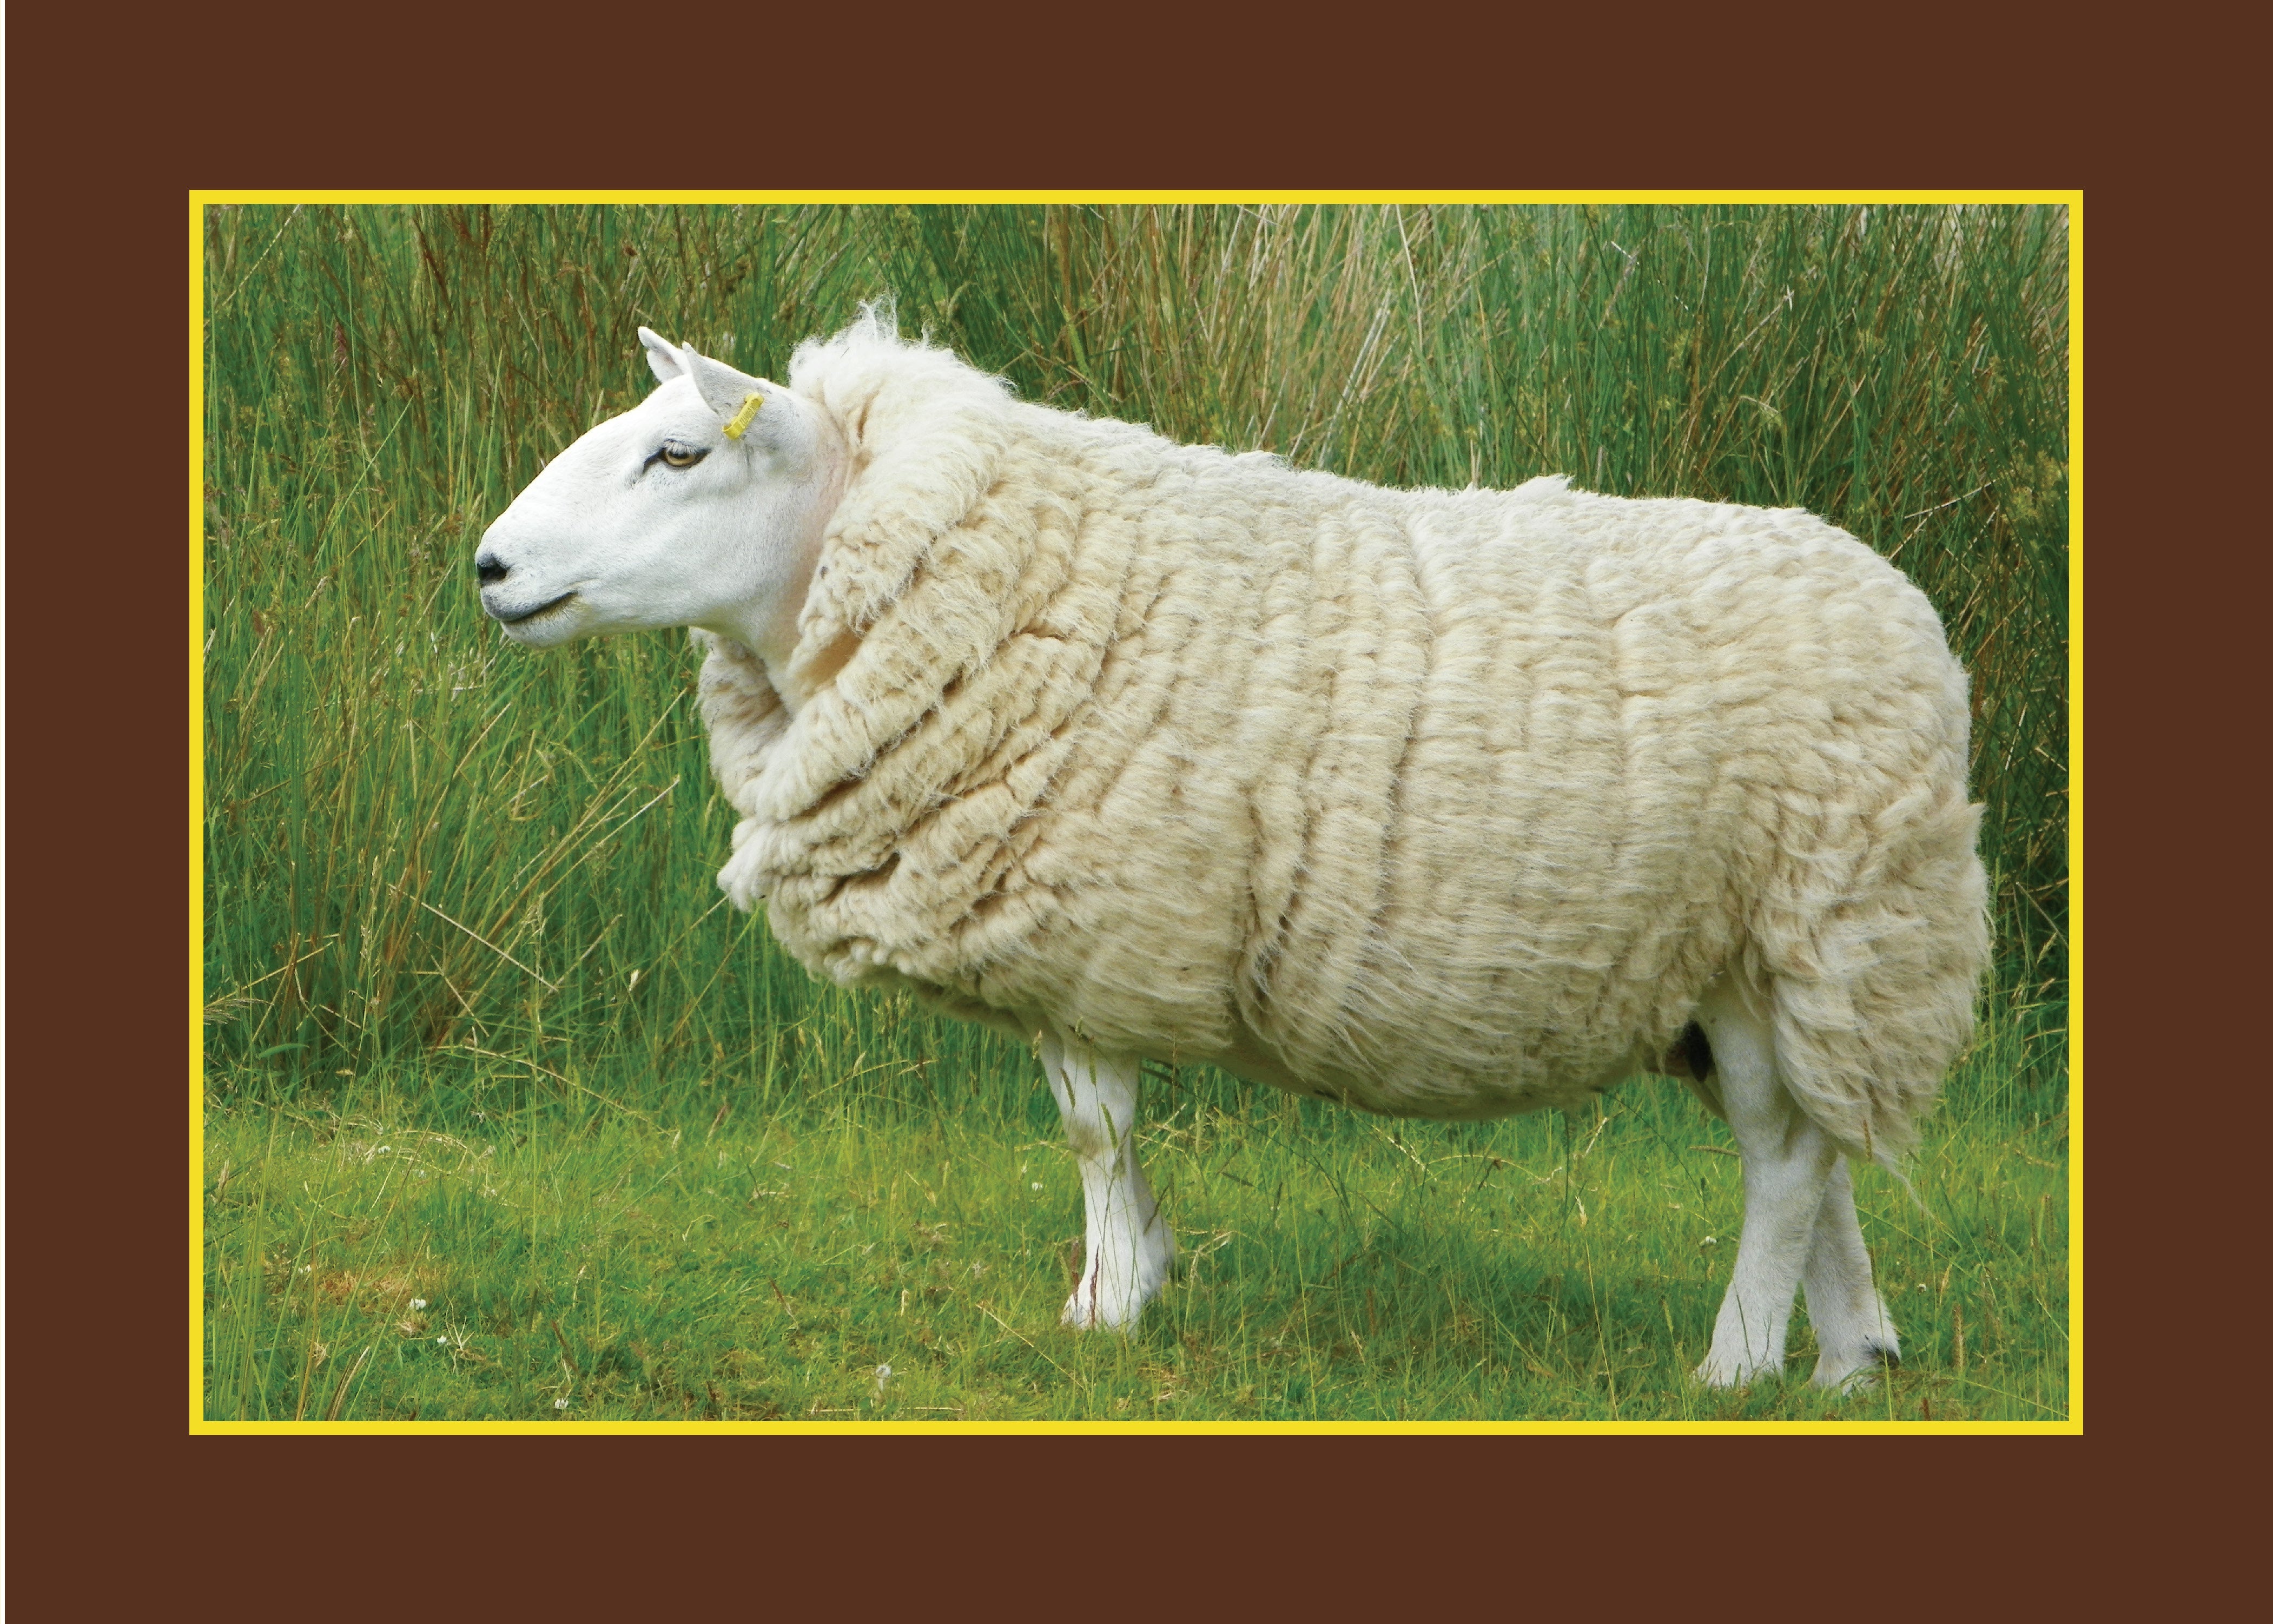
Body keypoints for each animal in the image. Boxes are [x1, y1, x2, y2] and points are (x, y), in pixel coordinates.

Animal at [475, 309, 1989, 1391]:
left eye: (681, 454)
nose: (489, 569)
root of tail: (1908, 621)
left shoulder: (1097, 920)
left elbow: (1093, 1127)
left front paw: (1103, 1309)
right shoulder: (1065, 939)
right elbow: (1096, 1131)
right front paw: (1139, 1266)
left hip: (1802, 919)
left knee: (1784, 1159)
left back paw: (1736, 1363)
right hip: (1769, 963)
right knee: (1820, 1146)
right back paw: (1851, 1357)